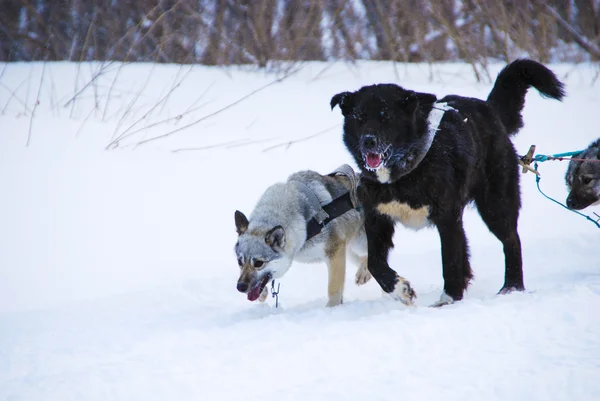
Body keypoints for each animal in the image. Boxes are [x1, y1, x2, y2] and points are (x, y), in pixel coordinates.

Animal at [236, 165, 418, 306]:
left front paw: (331, 309)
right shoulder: (339, 250)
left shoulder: (335, 251)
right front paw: (262, 294)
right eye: (240, 262)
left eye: (258, 263)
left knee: (375, 257)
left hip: (360, 240)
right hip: (350, 246)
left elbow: (333, 289)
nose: (240, 287)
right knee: (364, 259)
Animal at [330, 58, 564, 304]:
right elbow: (375, 263)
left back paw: (511, 286)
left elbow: (450, 261)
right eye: (359, 117)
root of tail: (489, 109)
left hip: (496, 205)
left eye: (386, 117)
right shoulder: (377, 219)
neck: (405, 172)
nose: (368, 141)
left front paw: (449, 299)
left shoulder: (447, 218)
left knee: (511, 241)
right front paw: (401, 289)